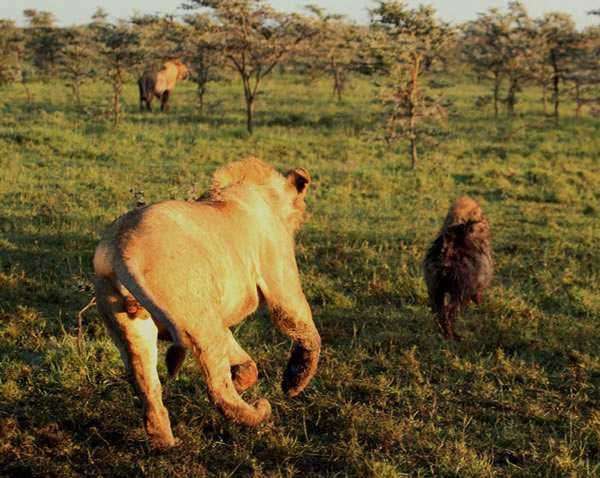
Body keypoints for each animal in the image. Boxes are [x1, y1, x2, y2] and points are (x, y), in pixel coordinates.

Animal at [92, 157, 322, 448]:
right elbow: (307, 332)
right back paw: (257, 410)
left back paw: (166, 444)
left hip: (133, 326)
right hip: (197, 318)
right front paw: (293, 383)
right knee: (217, 387)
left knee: (148, 387)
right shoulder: (281, 284)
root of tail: (122, 250)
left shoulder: (216, 317)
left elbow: (239, 354)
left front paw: (242, 377)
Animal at [422, 197, 492, 340]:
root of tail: (447, 251)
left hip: (435, 290)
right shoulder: (477, 285)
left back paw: (446, 334)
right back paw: (452, 335)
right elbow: (478, 296)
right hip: (459, 291)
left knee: (440, 312)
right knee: (449, 312)